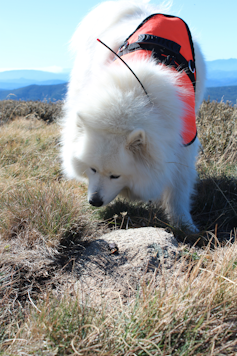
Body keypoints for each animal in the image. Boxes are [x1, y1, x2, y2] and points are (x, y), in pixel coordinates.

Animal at [60, 0, 206, 232]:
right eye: (92, 169)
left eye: (115, 175)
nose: (94, 201)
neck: (128, 96)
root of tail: (140, 9)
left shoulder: (183, 145)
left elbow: (179, 190)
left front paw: (185, 225)